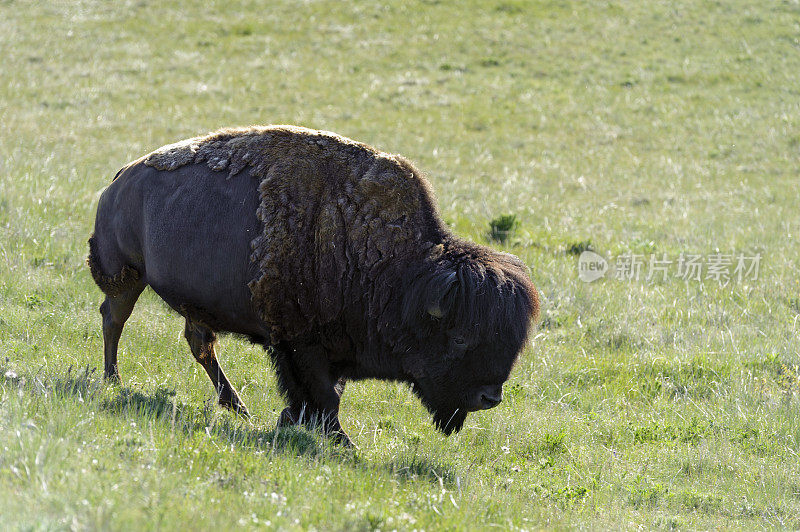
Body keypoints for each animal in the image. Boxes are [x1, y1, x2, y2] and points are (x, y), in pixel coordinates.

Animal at [86, 125, 536, 444]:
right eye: (460, 337)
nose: (490, 397)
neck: (396, 273)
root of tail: (119, 180)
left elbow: (325, 393)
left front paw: (291, 423)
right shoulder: (298, 345)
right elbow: (323, 396)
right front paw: (340, 440)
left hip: (191, 302)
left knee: (200, 344)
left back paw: (237, 406)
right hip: (125, 276)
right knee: (114, 319)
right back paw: (113, 380)